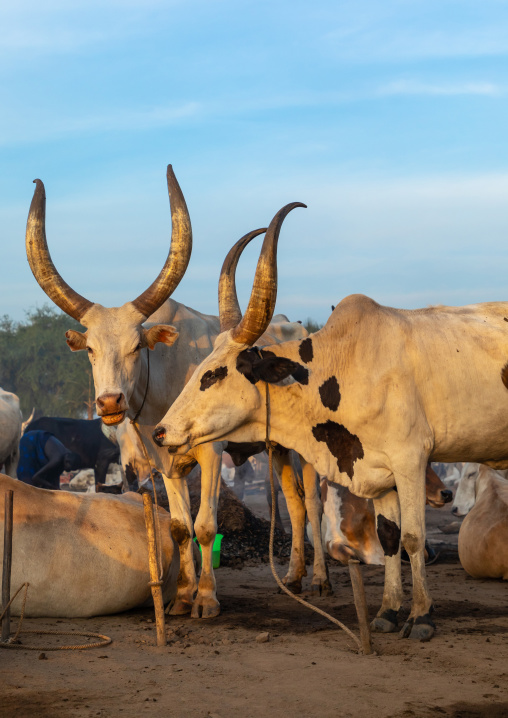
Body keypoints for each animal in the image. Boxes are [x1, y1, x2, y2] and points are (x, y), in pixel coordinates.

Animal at [24, 167, 328, 619]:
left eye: (137, 346)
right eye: (90, 349)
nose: (109, 403)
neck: (163, 381)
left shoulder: (212, 453)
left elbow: (205, 526)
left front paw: (206, 598)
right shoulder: (164, 462)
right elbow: (180, 527)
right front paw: (182, 597)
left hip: (306, 447)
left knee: (314, 503)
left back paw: (321, 579)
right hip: (276, 448)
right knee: (293, 501)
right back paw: (292, 576)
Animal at [153, 200, 508, 641]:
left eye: (214, 375)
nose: (160, 432)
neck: (347, 367)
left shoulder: (410, 461)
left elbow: (412, 538)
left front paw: (421, 617)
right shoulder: (377, 470)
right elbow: (390, 538)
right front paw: (388, 612)